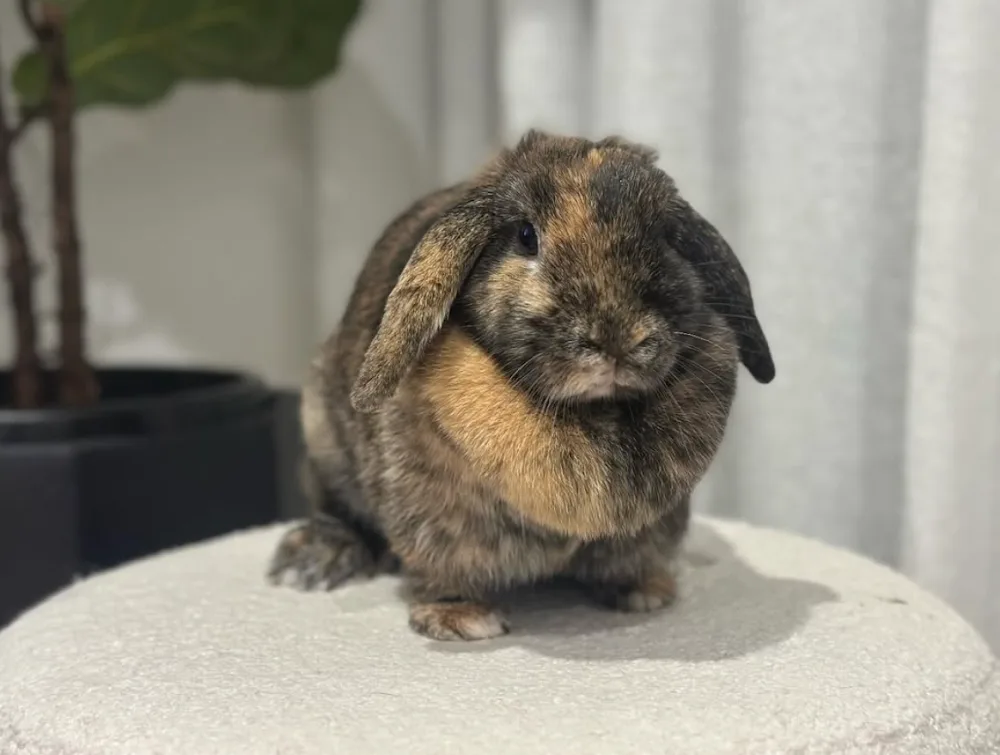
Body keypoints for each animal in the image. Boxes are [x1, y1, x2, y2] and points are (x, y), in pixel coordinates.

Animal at [267, 129, 775, 641]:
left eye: (666, 239)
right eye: (526, 237)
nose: (616, 338)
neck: (592, 414)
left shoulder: (653, 525)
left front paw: (646, 592)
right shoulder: (431, 514)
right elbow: (439, 567)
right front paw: (462, 618)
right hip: (325, 443)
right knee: (338, 510)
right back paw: (314, 560)